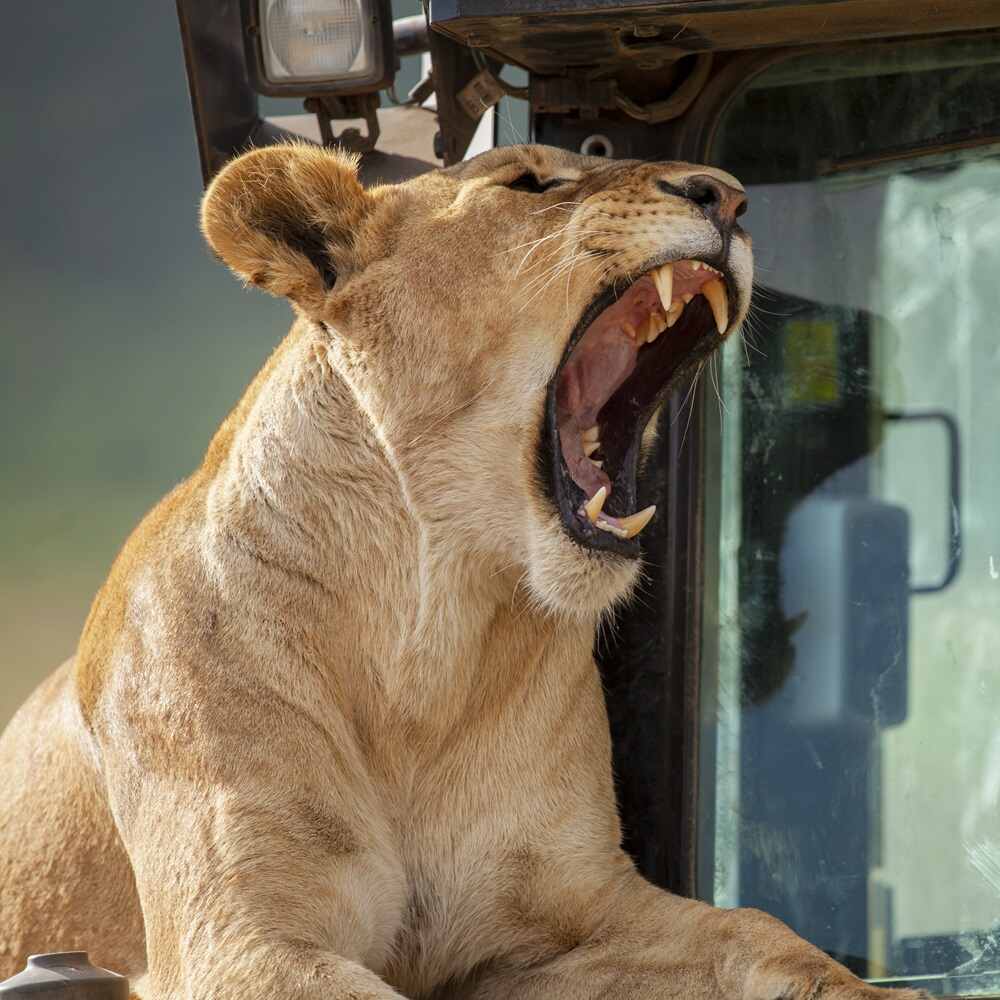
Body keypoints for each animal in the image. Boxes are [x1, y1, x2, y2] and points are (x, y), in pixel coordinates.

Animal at [0, 143, 918, 1000]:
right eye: (528, 183)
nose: (727, 196)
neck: (428, 639)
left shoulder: (565, 920)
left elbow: (758, 933)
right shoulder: (239, 941)